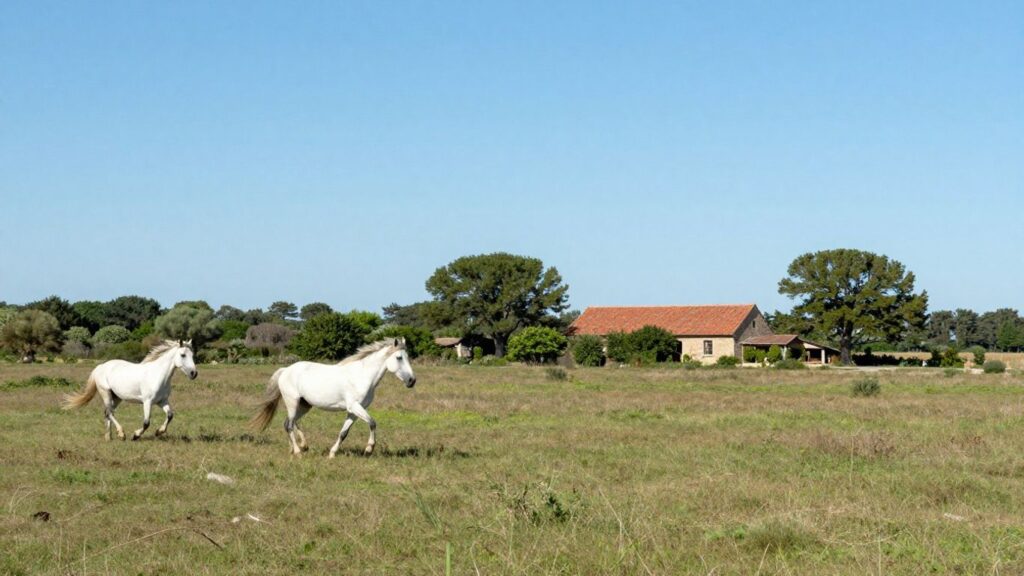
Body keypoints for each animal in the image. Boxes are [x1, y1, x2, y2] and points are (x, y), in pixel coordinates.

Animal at [63, 339, 198, 441]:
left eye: (192, 355)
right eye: (183, 355)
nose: (194, 373)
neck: (158, 375)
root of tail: (100, 367)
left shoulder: (162, 401)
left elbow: (170, 415)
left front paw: (159, 432)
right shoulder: (147, 402)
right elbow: (146, 422)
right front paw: (135, 435)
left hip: (117, 397)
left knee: (108, 412)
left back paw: (109, 437)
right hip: (106, 393)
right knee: (109, 412)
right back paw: (122, 434)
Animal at [250, 338, 416, 457]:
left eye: (408, 357)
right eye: (399, 357)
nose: (412, 381)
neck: (362, 376)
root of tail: (285, 370)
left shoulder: (353, 411)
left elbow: (343, 433)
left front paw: (332, 453)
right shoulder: (354, 406)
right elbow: (372, 423)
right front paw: (369, 449)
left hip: (304, 405)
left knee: (290, 423)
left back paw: (300, 447)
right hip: (292, 402)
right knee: (289, 425)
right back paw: (298, 452)